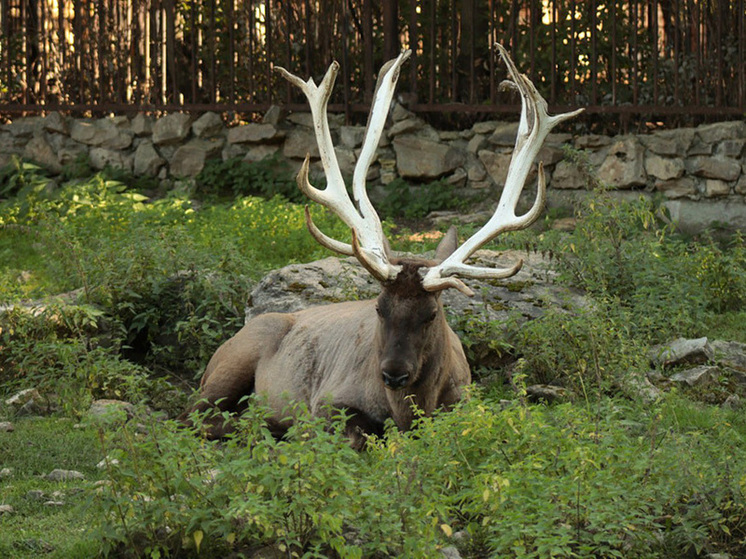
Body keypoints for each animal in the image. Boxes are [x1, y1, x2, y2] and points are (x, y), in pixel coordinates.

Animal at [182, 44, 580, 450]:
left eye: (432, 314)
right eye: (378, 308)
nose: (393, 374)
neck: (412, 409)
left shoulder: (464, 401)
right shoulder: (329, 402)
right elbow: (357, 435)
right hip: (232, 363)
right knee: (195, 418)